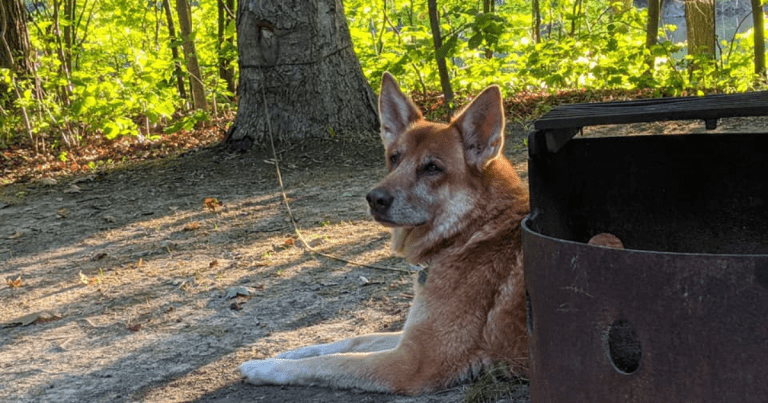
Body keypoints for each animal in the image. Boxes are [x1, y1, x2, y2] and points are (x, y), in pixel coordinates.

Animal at [240, 72, 528, 394]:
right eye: (394, 158)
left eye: (432, 167)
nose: (374, 198)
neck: (468, 233)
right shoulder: (409, 336)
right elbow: (352, 341)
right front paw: (293, 351)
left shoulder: (411, 362)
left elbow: (333, 363)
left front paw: (267, 367)